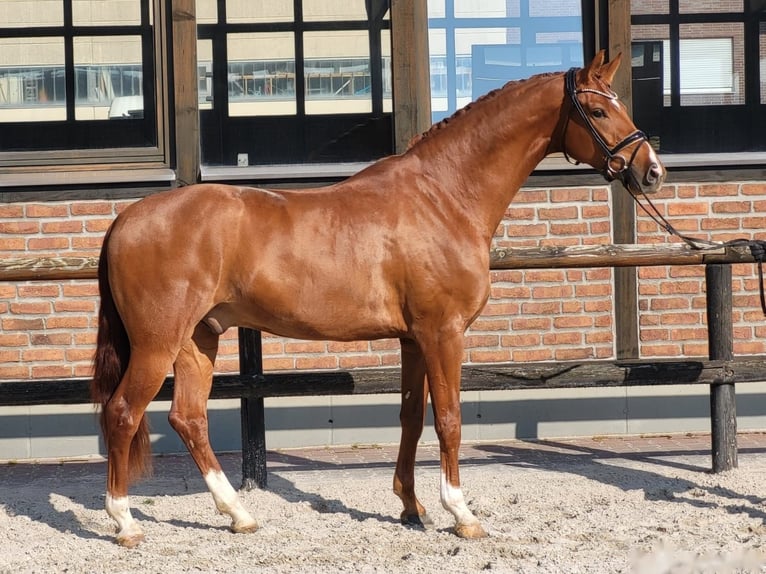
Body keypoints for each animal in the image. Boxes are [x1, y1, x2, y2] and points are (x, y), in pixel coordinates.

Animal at [91, 50, 664, 548]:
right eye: (597, 110)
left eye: (620, 104)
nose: (652, 170)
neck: (444, 196)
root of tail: (126, 218)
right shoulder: (442, 333)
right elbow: (449, 418)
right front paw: (461, 513)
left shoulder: (413, 339)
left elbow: (411, 417)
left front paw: (412, 507)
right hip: (158, 344)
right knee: (122, 411)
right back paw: (125, 522)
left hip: (198, 340)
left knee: (188, 418)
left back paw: (239, 514)